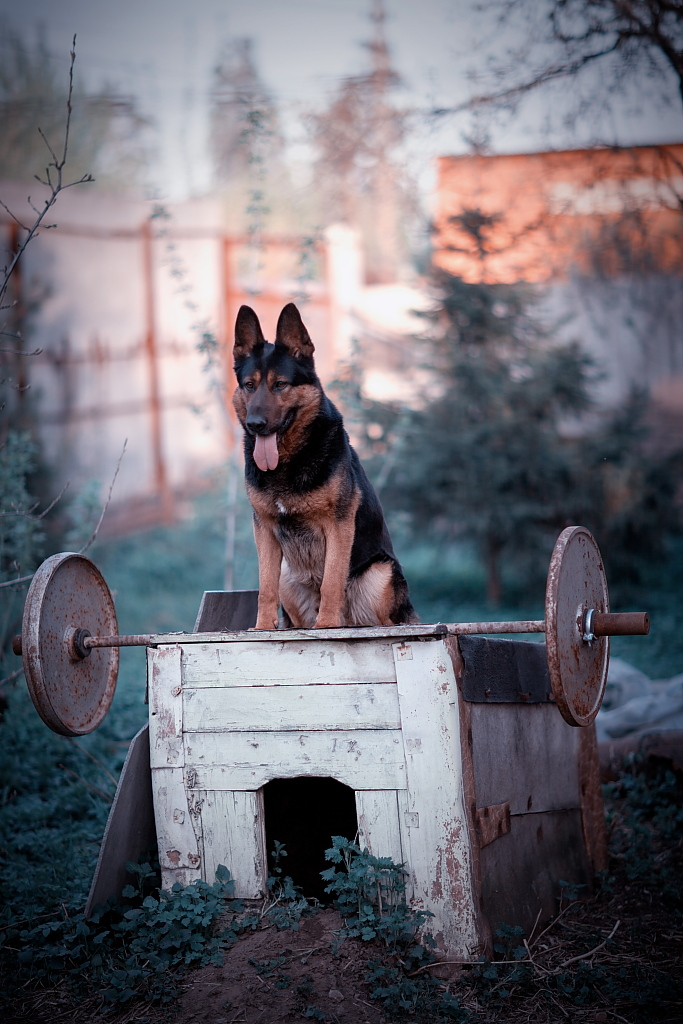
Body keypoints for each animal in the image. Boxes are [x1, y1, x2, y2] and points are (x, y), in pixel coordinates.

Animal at [233, 299, 417, 626]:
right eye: (250, 385)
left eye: (280, 385)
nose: (255, 424)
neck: (289, 461)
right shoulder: (264, 529)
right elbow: (264, 587)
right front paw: (262, 628)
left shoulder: (338, 525)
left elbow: (332, 580)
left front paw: (328, 625)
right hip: (288, 577)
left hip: (380, 574)